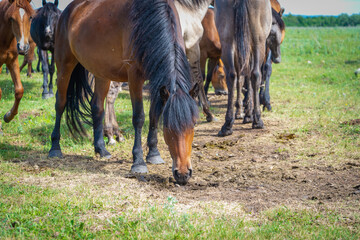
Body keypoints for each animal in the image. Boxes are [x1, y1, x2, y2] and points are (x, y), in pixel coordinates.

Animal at [48, 0, 198, 185]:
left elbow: (154, 115)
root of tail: (69, 10)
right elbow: (139, 118)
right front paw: (138, 162)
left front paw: (154, 154)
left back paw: (101, 149)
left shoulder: (156, 79)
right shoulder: (134, 77)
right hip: (64, 65)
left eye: (194, 124)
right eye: (168, 127)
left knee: (97, 107)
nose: (183, 174)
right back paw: (55, 147)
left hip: (101, 72)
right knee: (60, 103)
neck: (148, 21)